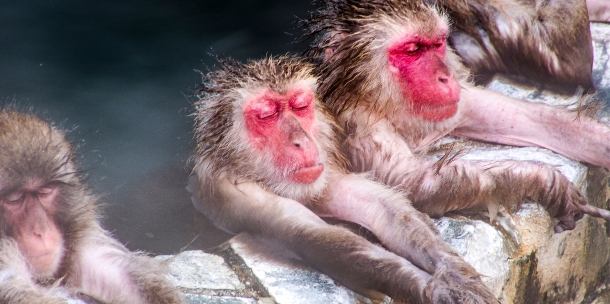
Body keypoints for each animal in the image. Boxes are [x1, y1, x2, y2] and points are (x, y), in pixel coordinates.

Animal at [189, 55, 498, 302]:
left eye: (300, 106)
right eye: (267, 115)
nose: (301, 141)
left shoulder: (324, 170)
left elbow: (384, 210)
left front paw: (457, 275)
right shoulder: (239, 194)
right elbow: (319, 237)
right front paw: (433, 290)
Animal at [306, 0, 608, 233]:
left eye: (437, 44)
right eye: (413, 50)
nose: (444, 76)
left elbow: (535, 120)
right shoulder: (357, 124)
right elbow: (414, 184)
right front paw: (547, 181)